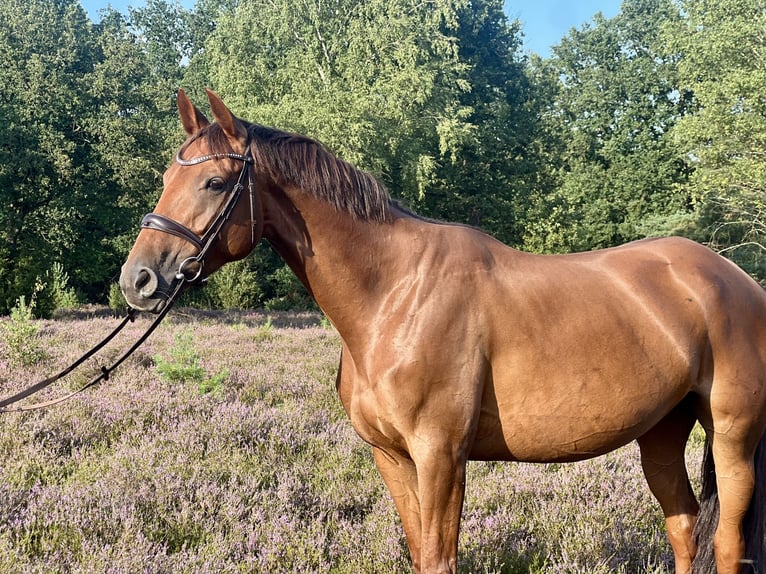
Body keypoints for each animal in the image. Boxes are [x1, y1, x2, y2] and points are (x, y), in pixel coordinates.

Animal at [120, 88, 766, 574]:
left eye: (214, 183)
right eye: (166, 176)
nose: (139, 279)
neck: (395, 294)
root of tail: (736, 280)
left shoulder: (440, 455)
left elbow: (439, 560)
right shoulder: (392, 456)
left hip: (733, 438)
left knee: (725, 544)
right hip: (661, 433)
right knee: (685, 531)